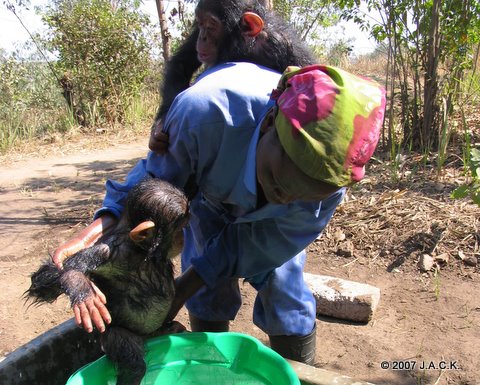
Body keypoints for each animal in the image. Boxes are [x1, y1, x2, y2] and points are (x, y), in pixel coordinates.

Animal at [25, 179, 188, 384]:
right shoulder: (106, 251)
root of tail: (148, 336)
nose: (183, 237)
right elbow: (51, 278)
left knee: (176, 331)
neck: (141, 252)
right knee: (133, 363)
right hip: (116, 335)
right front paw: (80, 286)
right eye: (179, 227)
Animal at [150, 0, 316, 153]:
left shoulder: (284, 46)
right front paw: (159, 126)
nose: (202, 38)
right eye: (201, 23)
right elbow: (182, 63)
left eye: (211, 25)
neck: (246, 45)